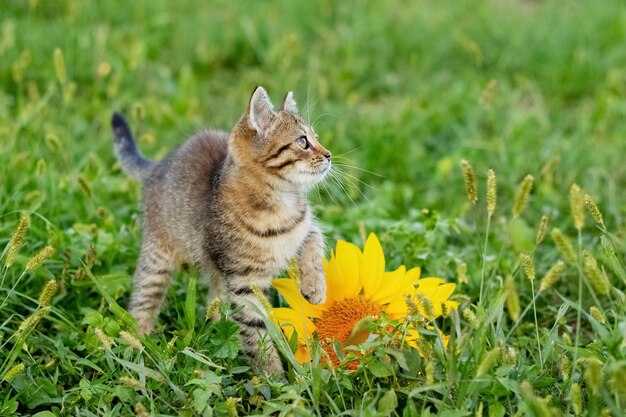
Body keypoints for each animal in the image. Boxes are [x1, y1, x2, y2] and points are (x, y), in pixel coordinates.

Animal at [111, 87, 332, 374]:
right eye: (303, 141)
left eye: (316, 138)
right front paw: (274, 377)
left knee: (213, 301)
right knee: (141, 301)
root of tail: (160, 166)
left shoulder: (303, 228)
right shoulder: (245, 284)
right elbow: (256, 334)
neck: (281, 203)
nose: (329, 154)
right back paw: (141, 345)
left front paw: (315, 287)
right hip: (157, 260)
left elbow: (315, 241)